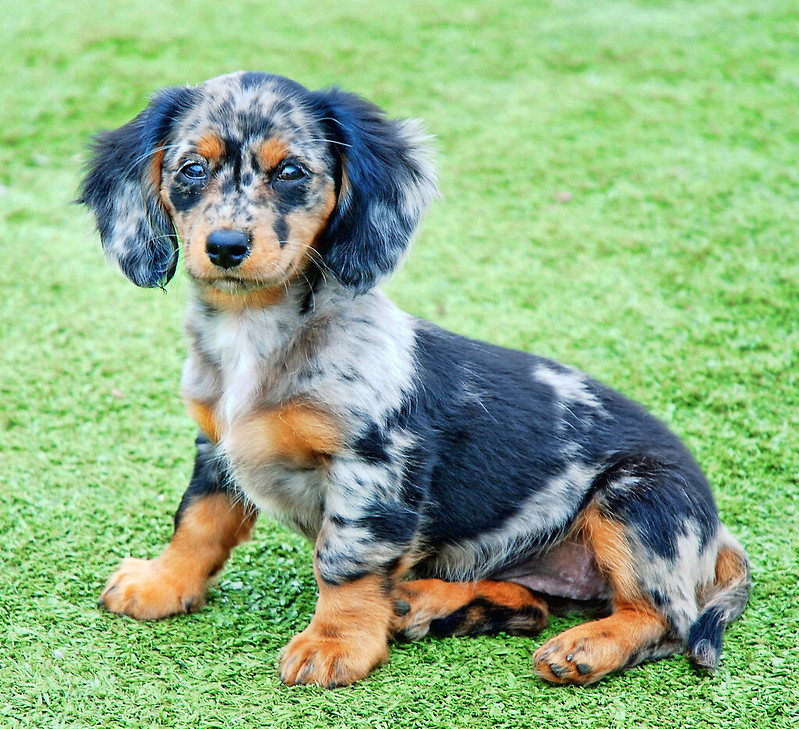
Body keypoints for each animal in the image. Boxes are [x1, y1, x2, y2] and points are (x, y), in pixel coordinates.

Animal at [81, 72, 752, 688]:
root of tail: (717, 533)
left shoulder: (372, 466)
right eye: (191, 169)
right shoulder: (215, 447)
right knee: (534, 605)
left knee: (663, 618)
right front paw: (162, 582)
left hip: (637, 504)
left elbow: (342, 562)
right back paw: (428, 603)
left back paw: (585, 645)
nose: (225, 246)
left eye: (292, 172)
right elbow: (198, 522)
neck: (257, 335)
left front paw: (335, 644)